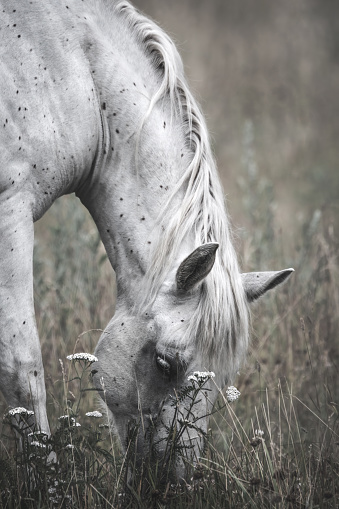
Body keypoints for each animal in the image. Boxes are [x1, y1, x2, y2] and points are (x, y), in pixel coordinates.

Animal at [0, 0, 292, 476]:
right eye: (164, 364)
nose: (172, 481)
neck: (73, 66)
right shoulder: (10, 209)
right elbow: (21, 372)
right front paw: (45, 481)